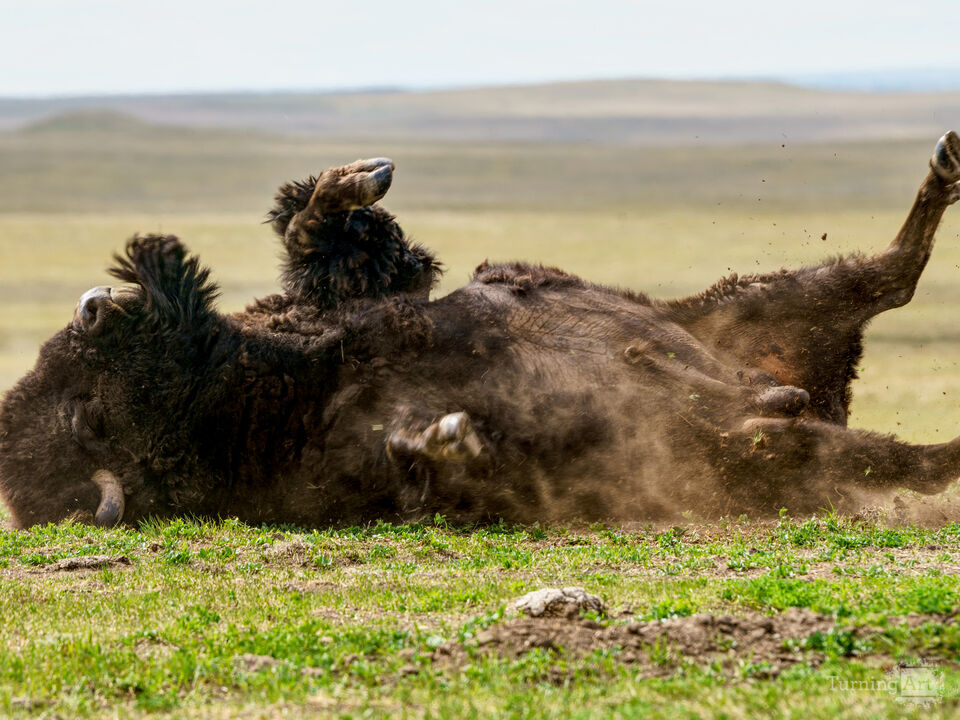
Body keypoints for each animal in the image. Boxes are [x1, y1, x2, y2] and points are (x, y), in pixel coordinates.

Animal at [1, 133, 959, 529]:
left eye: (70, 391)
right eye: (84, 418)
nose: (95, 305)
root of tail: (818, 394)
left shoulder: (357, 302)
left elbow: (329, 241)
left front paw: (360, 177)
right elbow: (430, 462)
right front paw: (450, 437)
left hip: (743, 305)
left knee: (889, 278)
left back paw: (945, 165)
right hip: (764, 444)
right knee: (876, 444)